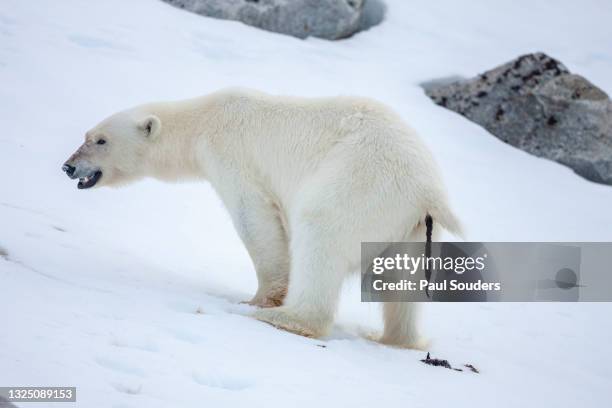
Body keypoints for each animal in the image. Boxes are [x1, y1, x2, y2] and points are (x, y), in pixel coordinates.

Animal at [63, 88, 464, 348]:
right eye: (86, 134)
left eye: (100, 140)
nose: (68, 166)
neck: (204, 119)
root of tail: (428, 190)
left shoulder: (232, 154)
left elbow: (255, 218)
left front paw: (259, 299)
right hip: (409, 227)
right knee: (401, 285)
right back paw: (394, 338)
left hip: (359, 185)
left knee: (319, 230)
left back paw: (283, 318)